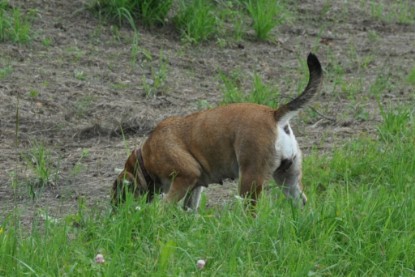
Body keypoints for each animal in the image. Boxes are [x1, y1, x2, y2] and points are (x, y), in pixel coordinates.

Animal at [113, 52, 324, 209]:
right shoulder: (194, 186)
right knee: (301, 203)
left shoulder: (184, 177)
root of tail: (274, 114)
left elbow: (166, 206)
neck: (145, 157)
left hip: (250, 179)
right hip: (288, 178)